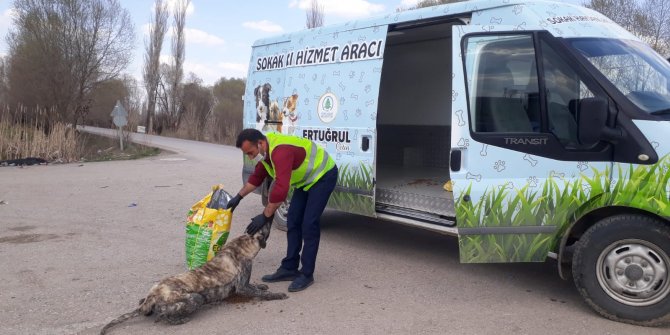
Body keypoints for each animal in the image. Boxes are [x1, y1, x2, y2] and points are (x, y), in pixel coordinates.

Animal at [100, 222, 286, 334]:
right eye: (265, 225)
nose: (268, 215)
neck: (241, 245)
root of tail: (154, 294)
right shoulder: (242, 285)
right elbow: (261, 293)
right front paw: (276, 295)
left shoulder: (245, 283)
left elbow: (255, 286)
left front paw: (261, 286)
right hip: (195, 298)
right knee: (163, 313)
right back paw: (176, 319)